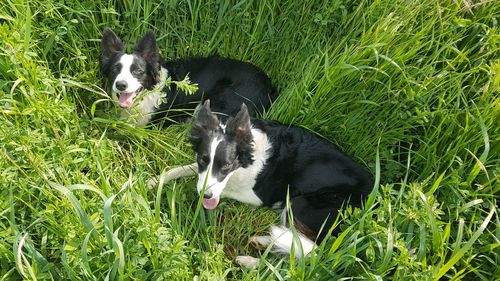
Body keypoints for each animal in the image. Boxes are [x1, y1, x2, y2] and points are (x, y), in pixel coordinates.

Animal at [189, 99, 374, 266]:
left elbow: (219, 189)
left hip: (300, 202)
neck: (249, 152)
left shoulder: (257, 196)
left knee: (307, 252)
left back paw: (252, 260)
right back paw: (265, 241)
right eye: (202, 159)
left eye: (227, 165)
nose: (207, 195)